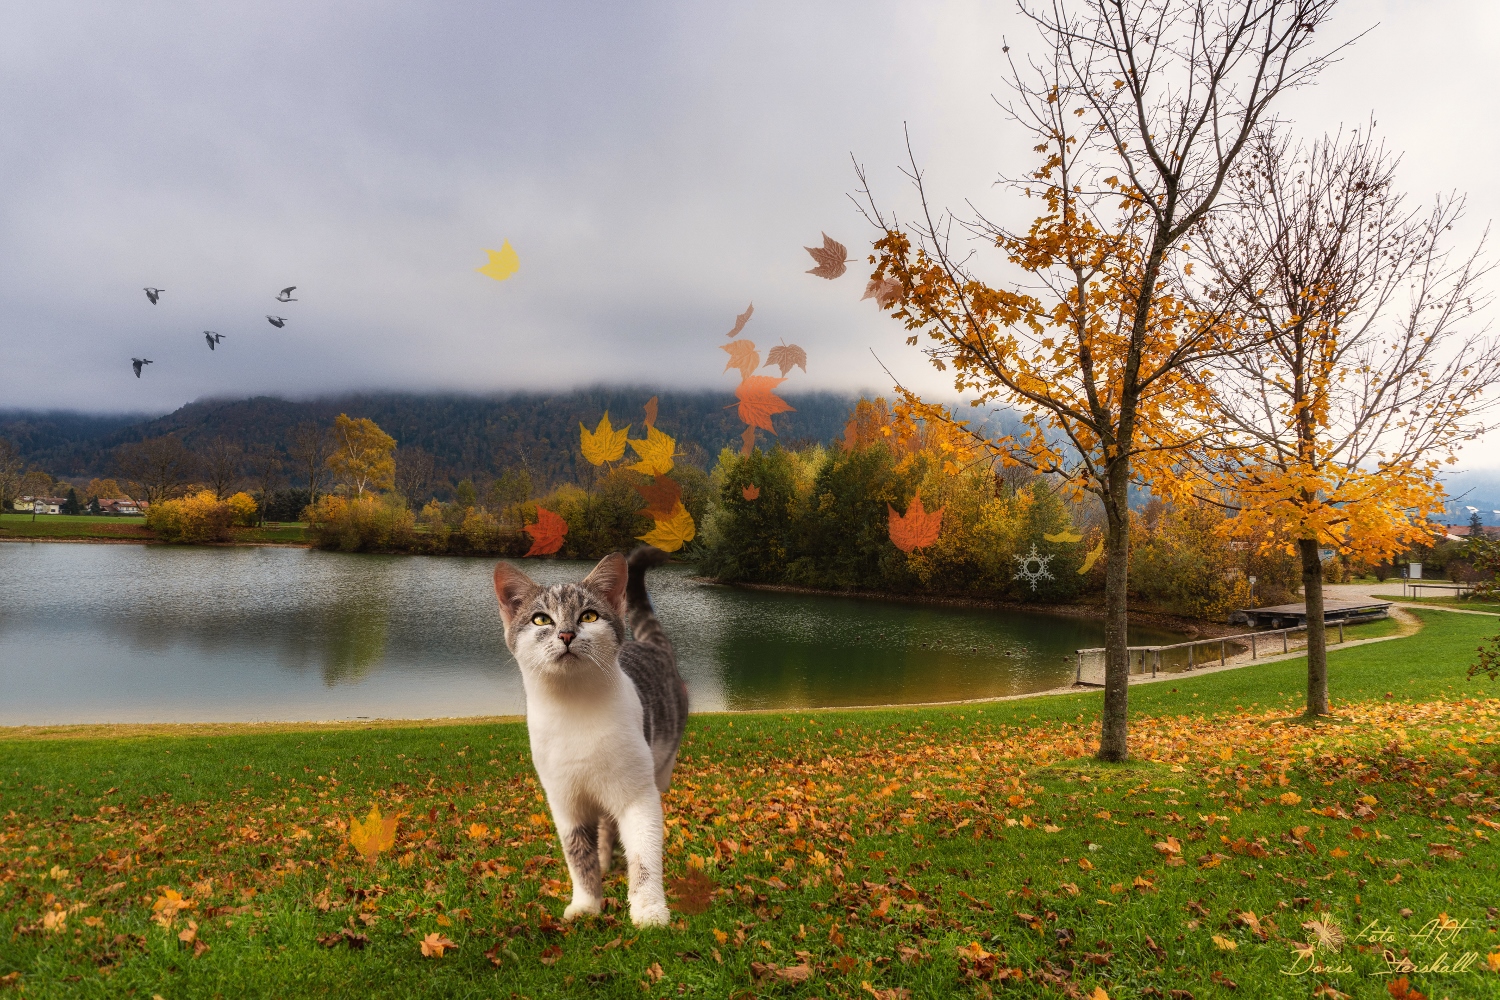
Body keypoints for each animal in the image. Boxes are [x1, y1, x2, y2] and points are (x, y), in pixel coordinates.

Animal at [489, 548, 687, 929]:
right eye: (541, 620)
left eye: (589, 615)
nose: (566, 634)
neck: (574, 710)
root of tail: (650, 644)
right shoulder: (566, 803)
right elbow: (578, 857)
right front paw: (586, 904)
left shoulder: (638, 797)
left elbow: (644, 858)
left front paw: (648, 910)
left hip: (660, 770)